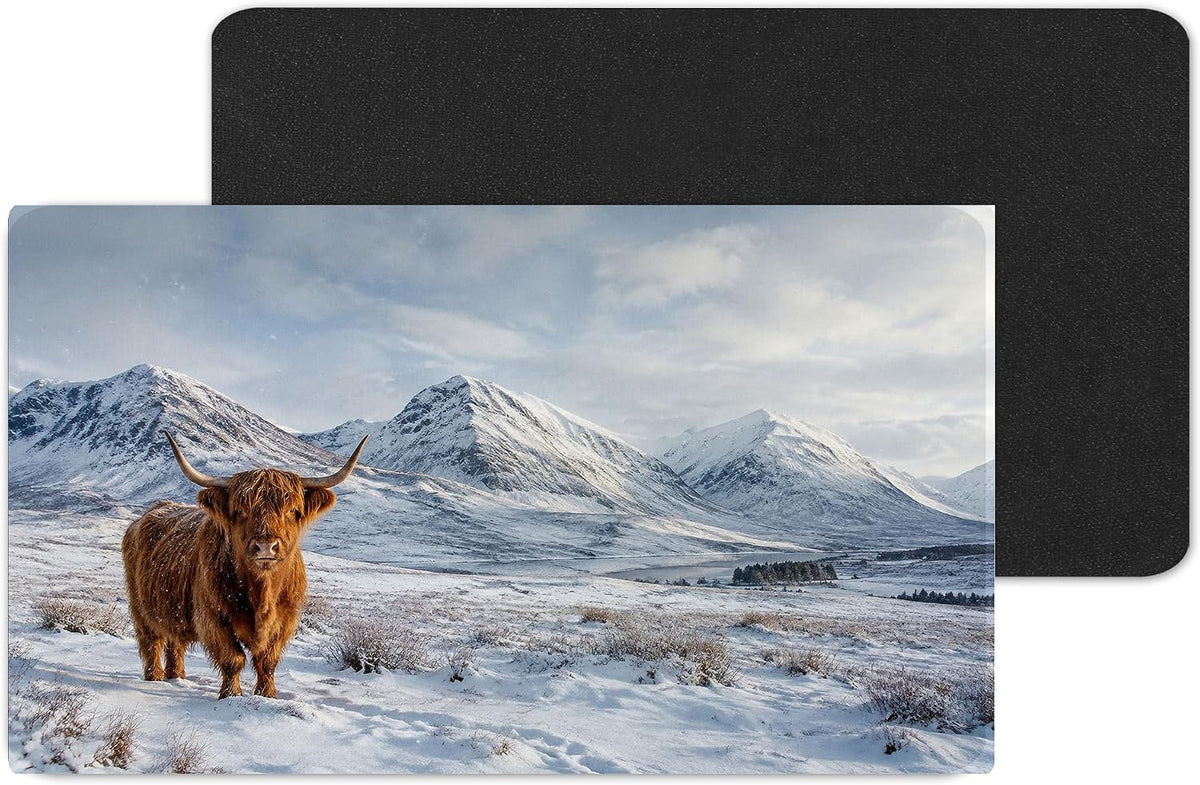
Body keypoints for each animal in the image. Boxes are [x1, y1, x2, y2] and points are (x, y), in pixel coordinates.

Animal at [122, 431, 368, 699]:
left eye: (292, 510)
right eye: (240, 511)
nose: (265, 547)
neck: (262, 593)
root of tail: (151, 512)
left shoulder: (286, 619)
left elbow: (267, 661)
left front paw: (267, 694)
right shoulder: (212, 617)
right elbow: (233, 659)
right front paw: (231, 695)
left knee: (176, 642)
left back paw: (176, 676)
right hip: (141, 608)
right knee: (152, 641)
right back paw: (155, 678)